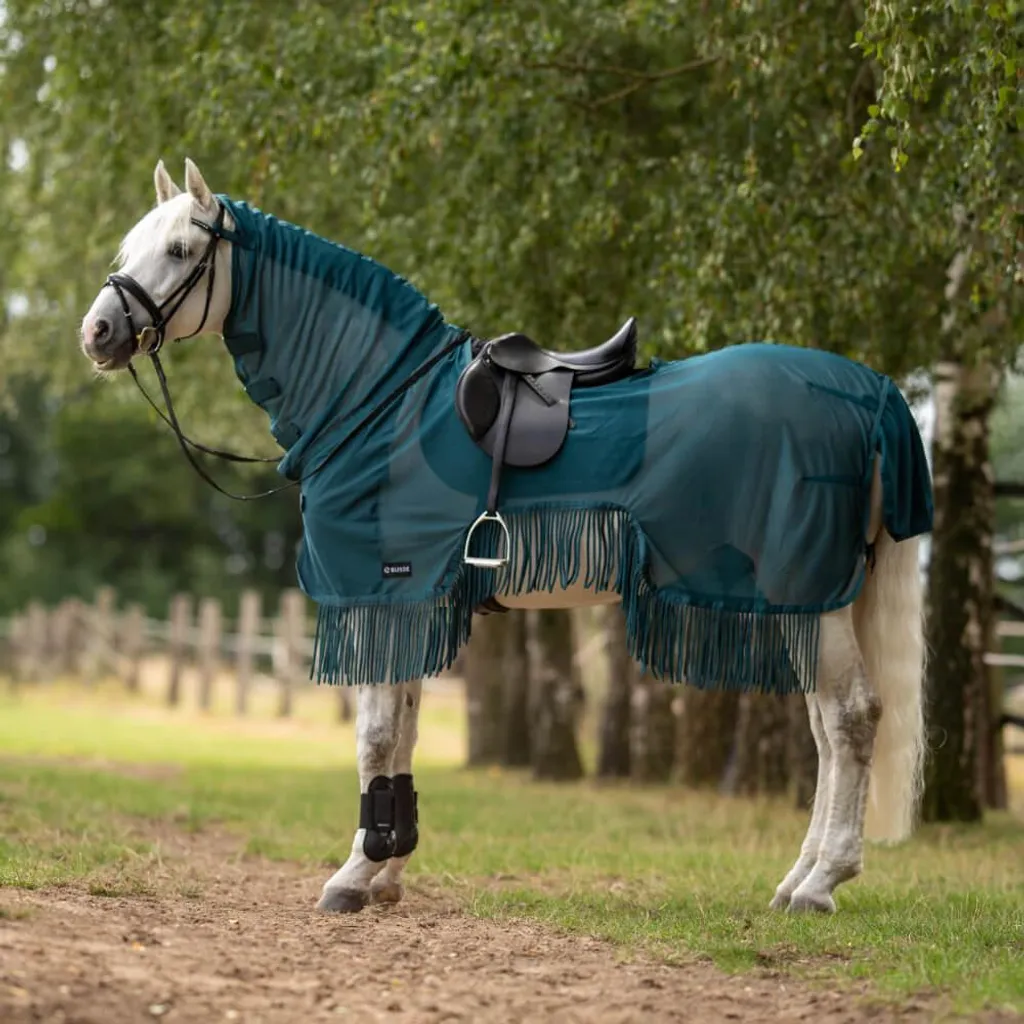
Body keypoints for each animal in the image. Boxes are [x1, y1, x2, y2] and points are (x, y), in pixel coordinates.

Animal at [80, 158, 931, 916]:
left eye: (180, 251)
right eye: (128, 249)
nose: (97, 332)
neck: (383, 401)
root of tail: (870, 390)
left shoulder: (380, 593)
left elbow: (374, 738)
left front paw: (354, 877)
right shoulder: (412, 602)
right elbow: (403, 737)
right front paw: (388, 873)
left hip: (807, 592)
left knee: (851, 718)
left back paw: (821, 884)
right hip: (814, 600)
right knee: (827, 729)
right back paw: (798, 879)